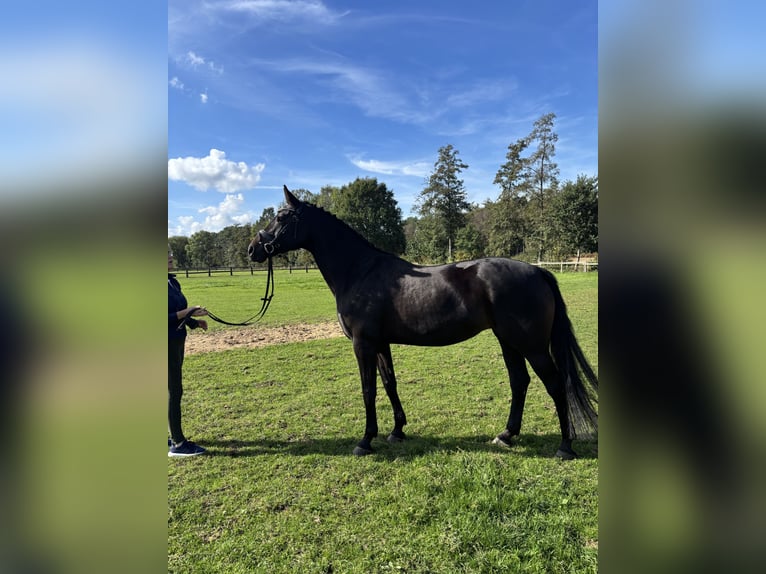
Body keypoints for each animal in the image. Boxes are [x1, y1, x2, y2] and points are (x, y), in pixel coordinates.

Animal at [248, 186, 598, 459]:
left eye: (281, 217)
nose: (253, 249)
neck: (359, 271)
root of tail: (538, 271)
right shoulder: (381, 343)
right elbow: (389, 383)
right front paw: (397, 431)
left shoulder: (363, 344)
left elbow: (368, 389)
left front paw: (365, 441)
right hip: (508, 340)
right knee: (519, 382)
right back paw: (506, 435)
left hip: (531, 345)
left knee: (555, 385)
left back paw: (565, 447)